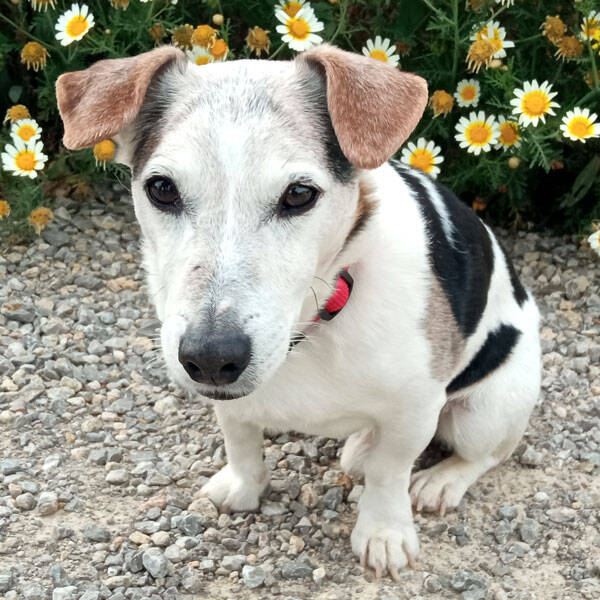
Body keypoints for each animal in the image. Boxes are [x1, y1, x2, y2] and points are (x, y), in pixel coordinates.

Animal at [56, 44, 541, 578]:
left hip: (488, 410)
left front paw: (384, 532)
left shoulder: (416, 407)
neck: (318, 318)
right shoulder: (227, 398)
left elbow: (390, 472)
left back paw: (442, 479)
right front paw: (244, 487)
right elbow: (241, 441)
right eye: (161, 188)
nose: (210, 357)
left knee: (486, 455)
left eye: (299, 194)